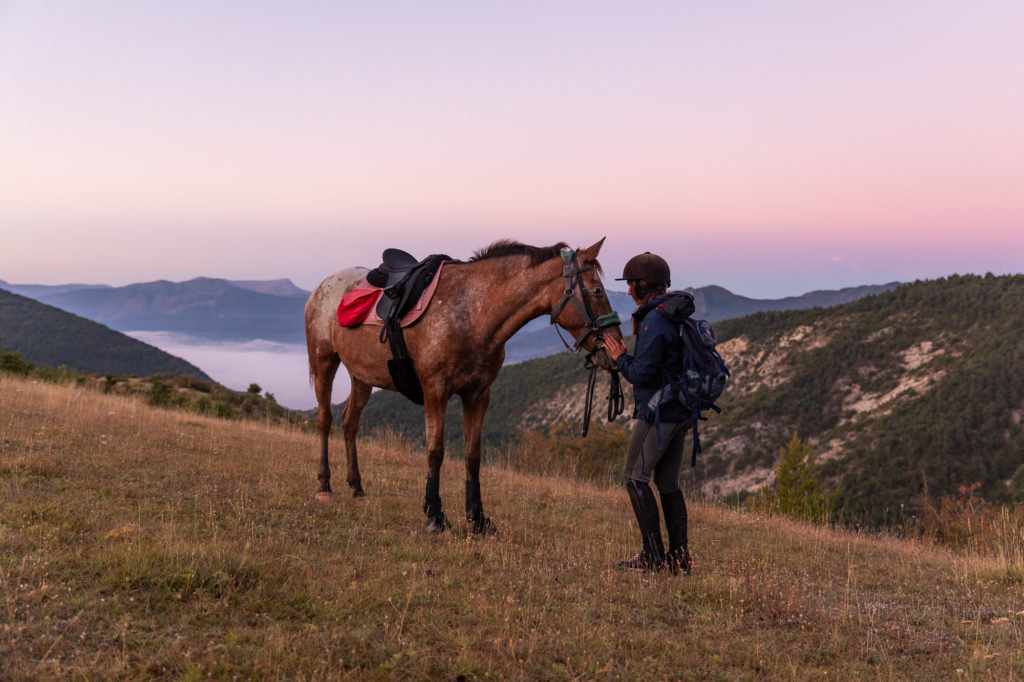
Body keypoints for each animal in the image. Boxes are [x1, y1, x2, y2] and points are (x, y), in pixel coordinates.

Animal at [301, 237, 622, 532]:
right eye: (597, 291)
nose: (615, 347)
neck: (472, 312)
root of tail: (322, 286)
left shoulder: (478, 395)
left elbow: (472, 455)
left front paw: (477, 518)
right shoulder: (435, 391)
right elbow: (436, 451)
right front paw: (434, 516)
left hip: (362, 376)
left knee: (350, 423)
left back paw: (357, 488)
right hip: (324, 361)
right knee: (325, 420)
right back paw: (324, 486)